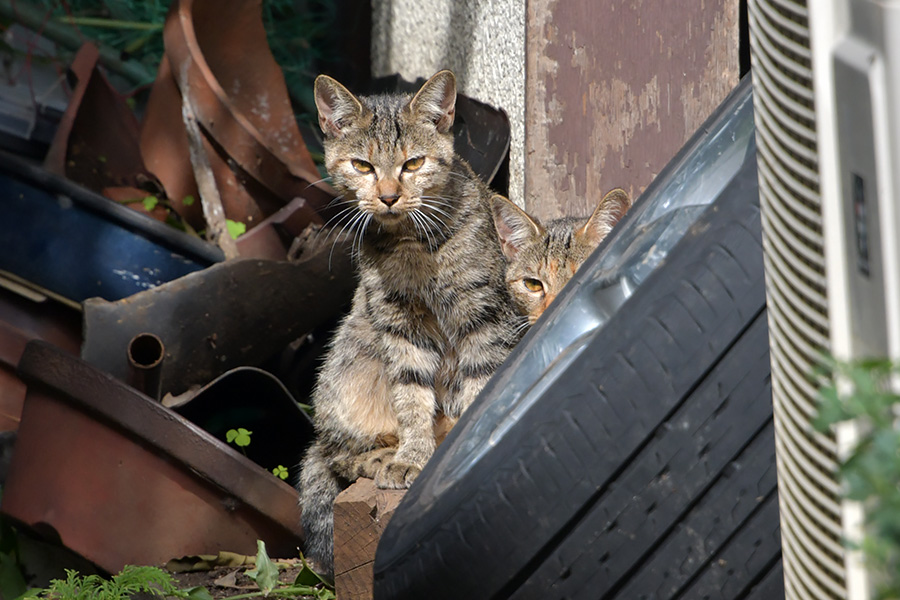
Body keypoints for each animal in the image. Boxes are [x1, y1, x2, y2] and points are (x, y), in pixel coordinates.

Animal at [298, 68, 520, 576]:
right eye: (362, 166)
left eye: (414, 163)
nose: (388, 196)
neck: (411, 248)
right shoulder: (398, 326)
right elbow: (411, 398)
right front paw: (414, 456)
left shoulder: (484, 316)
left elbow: (479, 386)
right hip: (348, 362)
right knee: (335, 453)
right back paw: (383, 457)